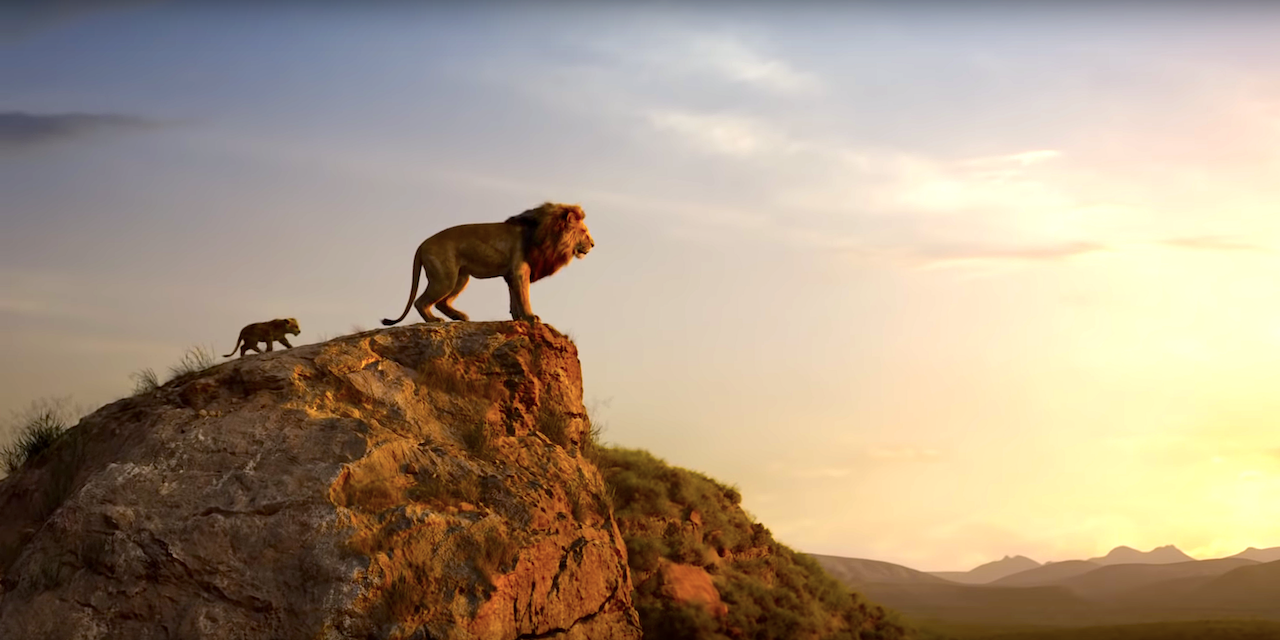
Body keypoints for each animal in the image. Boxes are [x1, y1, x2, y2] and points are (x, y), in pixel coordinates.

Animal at [381, 202, 594, 325]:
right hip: (445, 278)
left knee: (441, 302)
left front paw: (518, 318)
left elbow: (514, 299)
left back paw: (459, 317)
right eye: (584, 231)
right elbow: (524, 297)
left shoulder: (511, 274)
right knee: (421, 301)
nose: (593, 244)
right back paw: (434, 320)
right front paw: (530, 317)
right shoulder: (520, 271)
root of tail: (421, 245)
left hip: (460, 278)